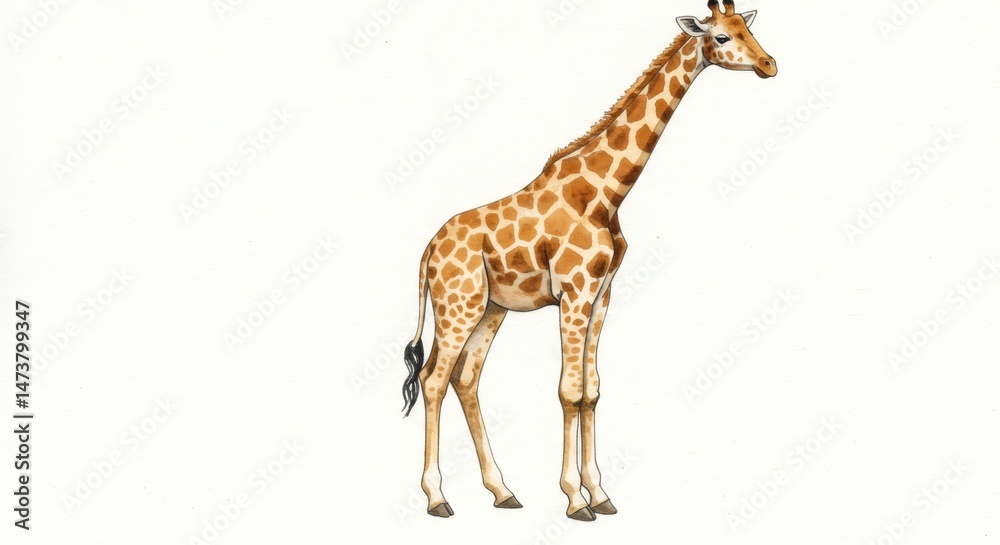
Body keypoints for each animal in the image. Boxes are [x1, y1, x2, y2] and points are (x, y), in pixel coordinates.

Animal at [400, 0, 776, 521]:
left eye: (748, 29)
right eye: (721, 37)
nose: (769, 65)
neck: (603, 195)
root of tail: (428, 250)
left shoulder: (602, 295)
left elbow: (592, 391)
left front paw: (599, 493)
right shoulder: (574, 293)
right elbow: (569, 391)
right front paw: (576, 499)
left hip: (490, 308)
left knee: (465, 379)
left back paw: (503, 490)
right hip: (458, 305)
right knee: (434, 380)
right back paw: (438, 498)